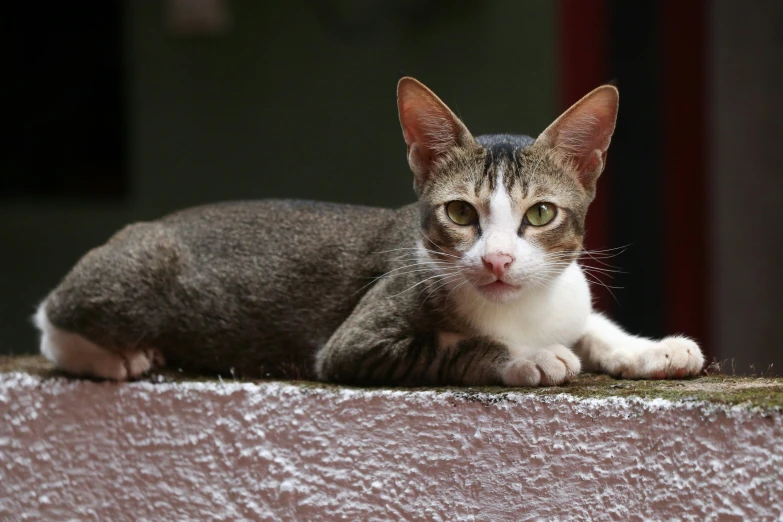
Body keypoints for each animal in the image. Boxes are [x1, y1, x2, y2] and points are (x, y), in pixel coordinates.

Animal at [32, 76, 704, 382]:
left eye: (539, 214)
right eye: (461, 214)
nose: (497, 261)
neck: (522, 306)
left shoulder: (567, 293)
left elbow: (592, 325)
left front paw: (651, 348)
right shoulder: (357, 343)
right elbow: (449, 346)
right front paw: (529, 356)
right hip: (136, 274)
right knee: (51, 318)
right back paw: (117, 356)